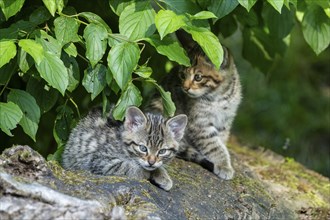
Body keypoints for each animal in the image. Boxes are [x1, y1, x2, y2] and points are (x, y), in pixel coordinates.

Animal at [148, 32, 241, 180]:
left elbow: (221, 141)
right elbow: (214, 145)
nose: (185, 88)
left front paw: (224, 162)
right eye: (182, 75)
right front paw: (224, 165)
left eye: (198, 77)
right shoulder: (199, 123)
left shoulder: (225, 120)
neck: (219, 96)